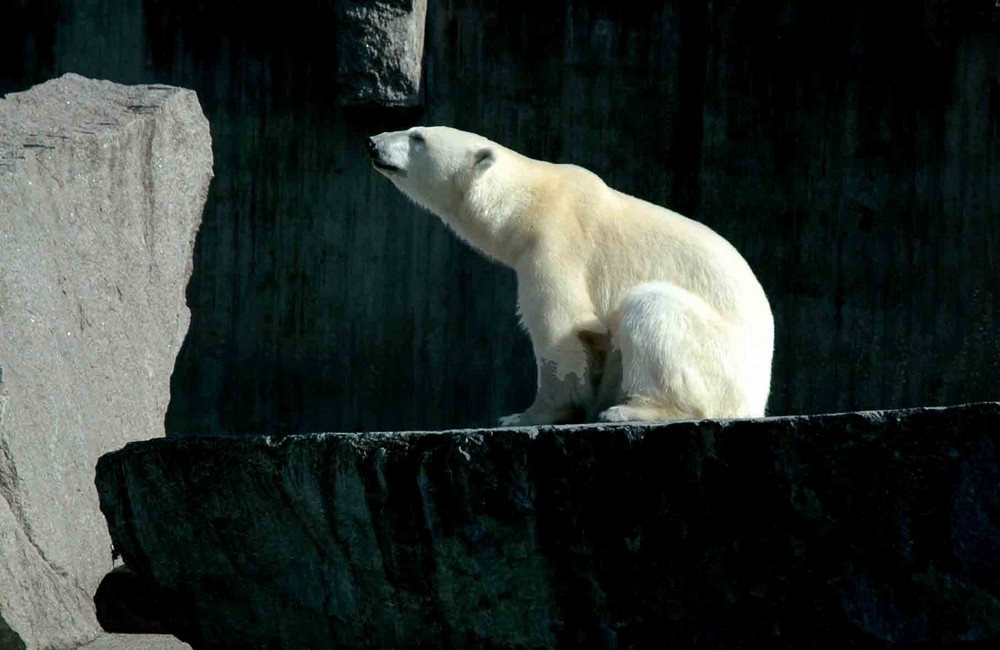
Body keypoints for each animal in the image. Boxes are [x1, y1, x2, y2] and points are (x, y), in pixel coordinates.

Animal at [366, 125, 772, 426]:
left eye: (418, 136)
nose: (372, 142)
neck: (525, 205)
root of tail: (756, 400)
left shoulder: (556, 244)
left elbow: (559, 325)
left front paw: (525, 415)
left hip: (721, 361)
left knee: (653, 307)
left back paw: (629, 409)